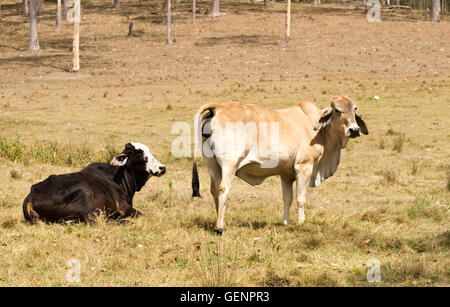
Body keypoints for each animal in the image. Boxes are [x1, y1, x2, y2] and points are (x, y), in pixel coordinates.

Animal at [22, 143, 166, 225]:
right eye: (139, 152)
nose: (162, 168)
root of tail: (32, 194)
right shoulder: (123, 207)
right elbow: (142, 215)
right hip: (84, 193)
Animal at [193, 95, 370, 235]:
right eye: (337, 110)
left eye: (354, 109)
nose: (354, 130)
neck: (318, 129)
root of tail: (218, 107)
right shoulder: (304, 167)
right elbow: (300, 198)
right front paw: (301, 223)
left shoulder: (286, 175)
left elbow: (287, 198)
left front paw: (286, 223)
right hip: (229, 165)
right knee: (223, 190)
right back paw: (220, 227)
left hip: (212, 165)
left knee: (214, 190)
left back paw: (218, 223)